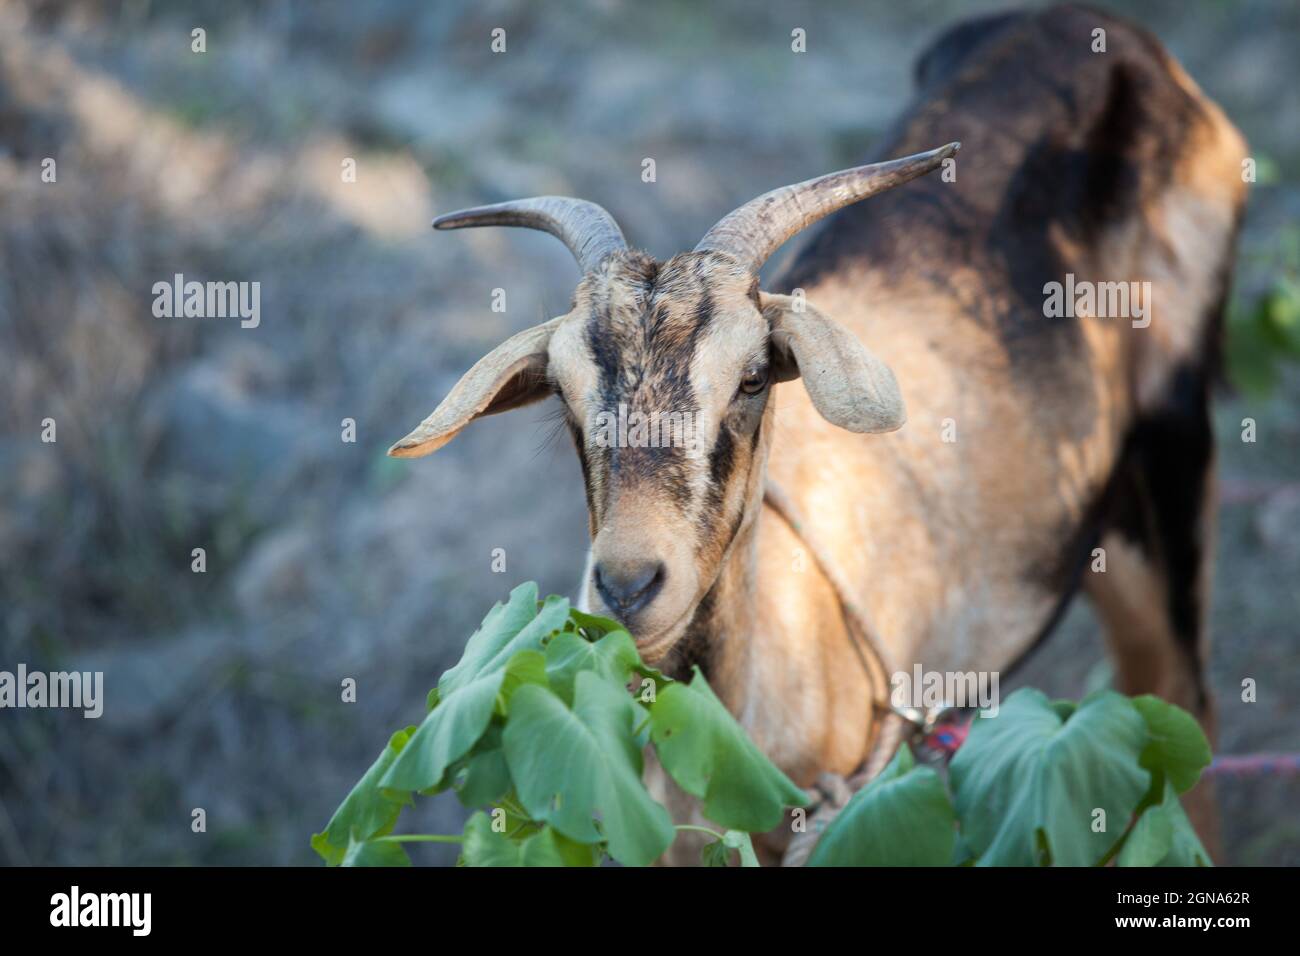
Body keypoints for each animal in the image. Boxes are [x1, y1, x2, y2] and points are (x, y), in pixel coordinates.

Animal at [387, 3, 1248, 863]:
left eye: (752, 378)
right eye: (564, 396)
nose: (628, 588)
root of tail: (1105, 31)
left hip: (1170, 464)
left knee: (1183, 707)